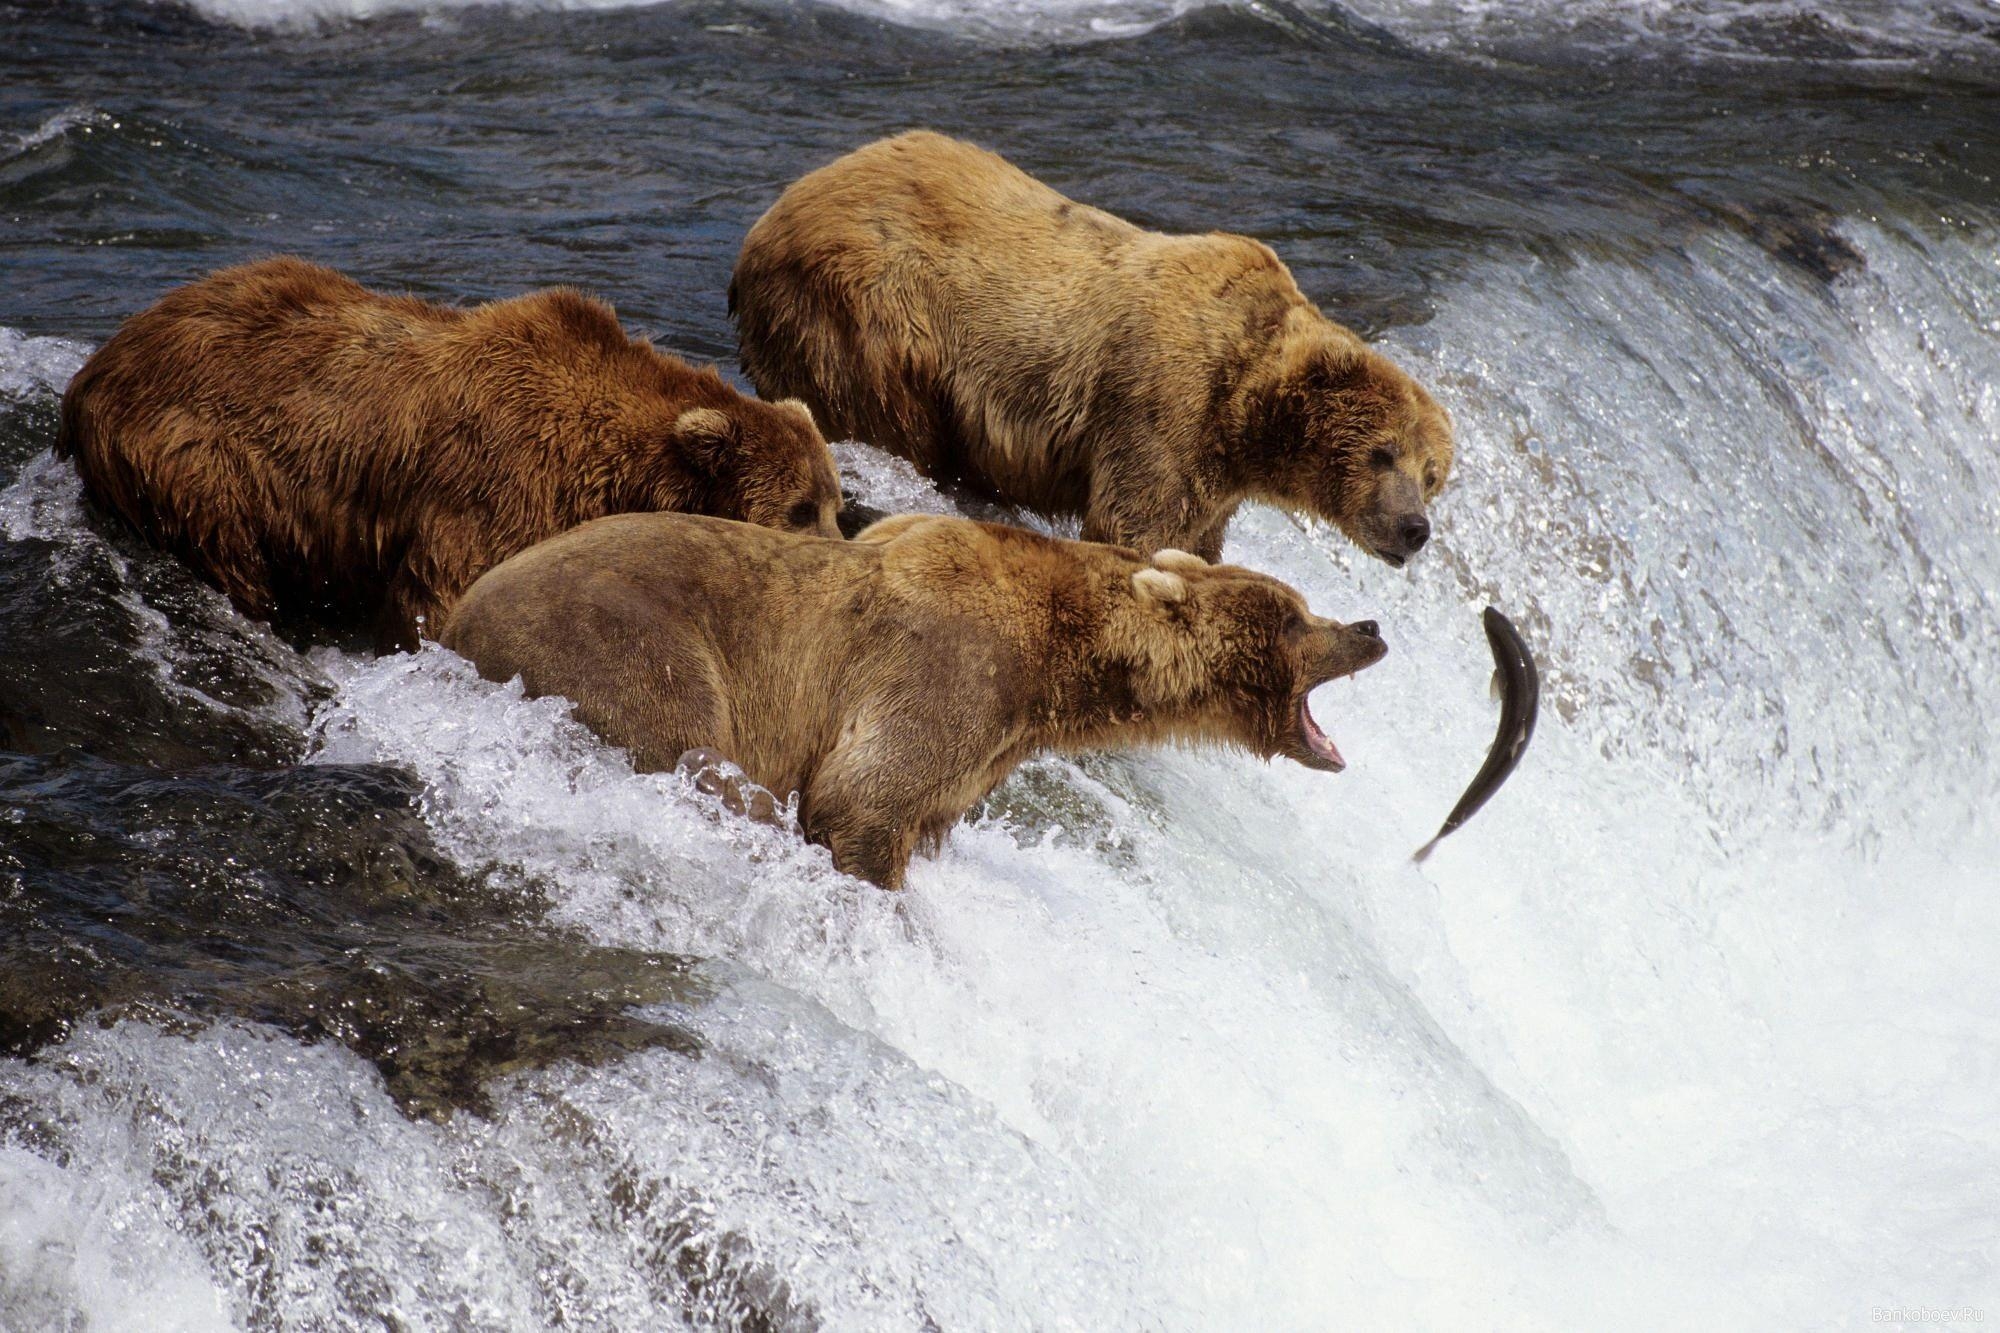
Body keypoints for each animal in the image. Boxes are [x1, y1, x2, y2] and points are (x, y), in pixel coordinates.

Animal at [58, 255, 844, 648]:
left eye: (835, 503)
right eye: (798, 509)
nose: (841, 555)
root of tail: (94, 369)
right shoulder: (497, 485)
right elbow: (442, 596)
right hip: (197, 454)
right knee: (229, 547)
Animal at [440, 508, 1384, 880]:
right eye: (1294, 616)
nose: (1370, 626)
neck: (1060, 663)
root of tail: (453, 620)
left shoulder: (987, 744)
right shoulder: (948, 670)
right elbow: (862, 795)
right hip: (626, 642)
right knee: (695, 748)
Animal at [736, 134, 1456, 564]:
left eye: (1432, 475)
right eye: (1382, 451)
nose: (1415, 529)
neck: (1245, 414)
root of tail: (773, 213)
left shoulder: (1215, 476)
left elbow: (1197, 540)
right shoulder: (1162, 407)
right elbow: (1135, 526)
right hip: (869, 312)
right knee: (888, 416)